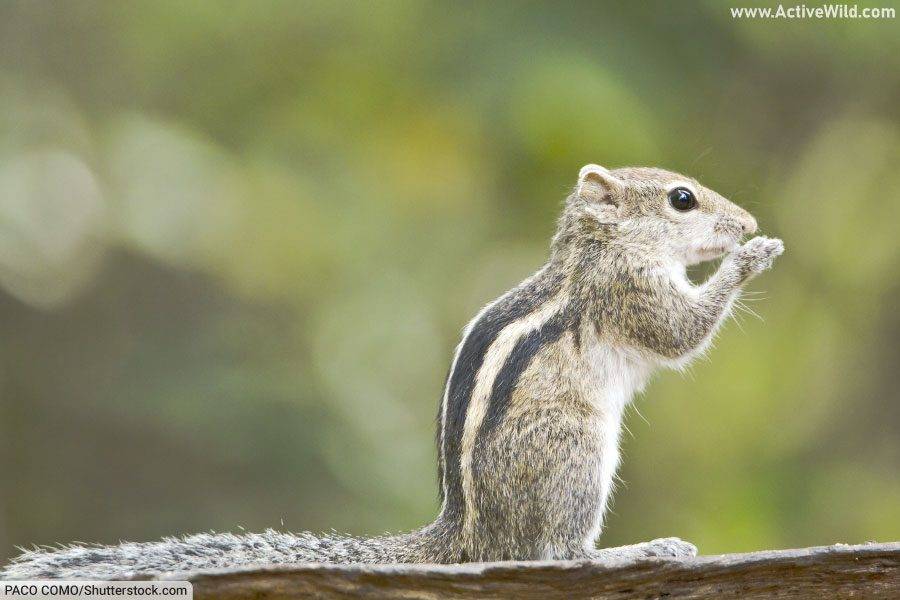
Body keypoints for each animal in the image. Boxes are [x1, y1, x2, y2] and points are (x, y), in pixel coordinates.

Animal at [1, 163, 780, 576]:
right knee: (553, 554)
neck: (594, 251)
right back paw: (636, 549)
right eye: (683, 198)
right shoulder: (629, 291)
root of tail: (465, 536)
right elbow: (679, 333)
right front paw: (753, 256)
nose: (744, 223)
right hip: (575, 456)